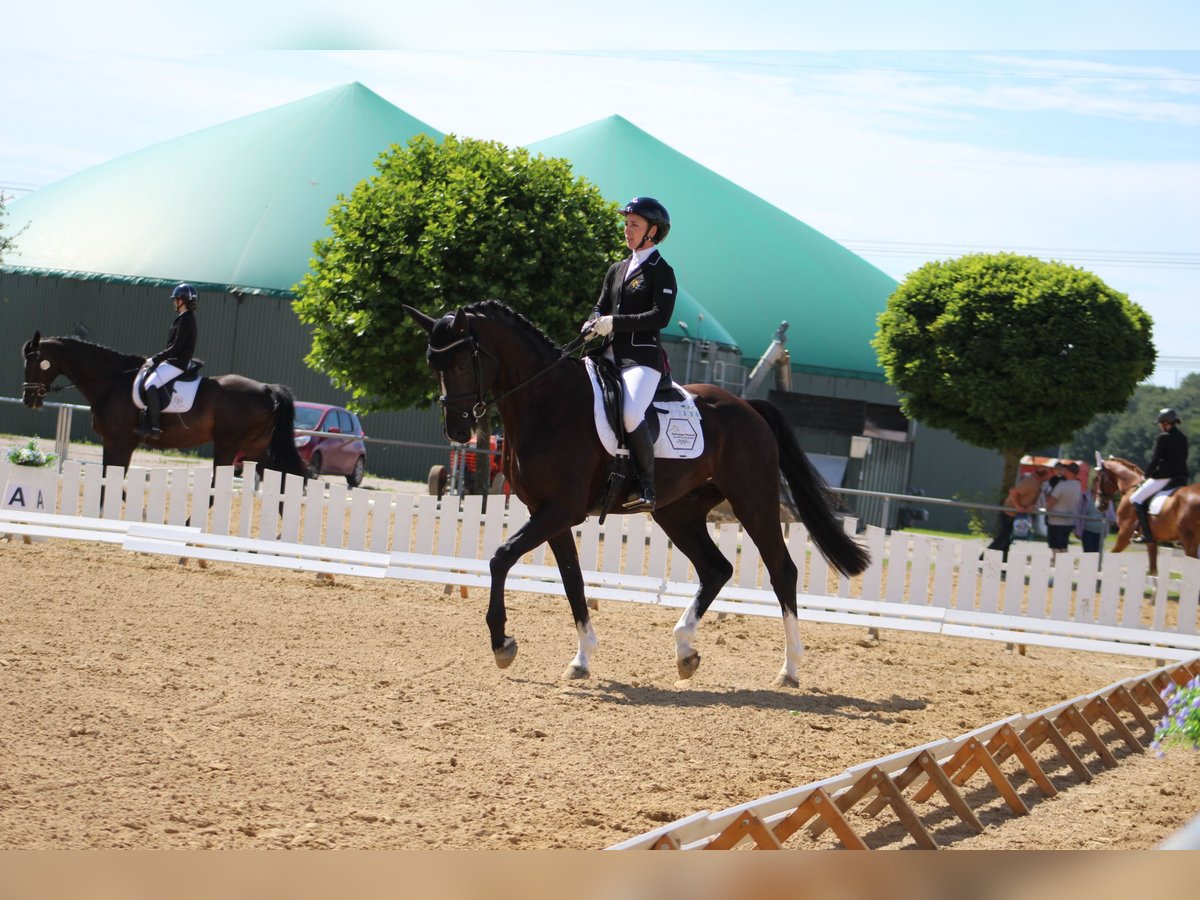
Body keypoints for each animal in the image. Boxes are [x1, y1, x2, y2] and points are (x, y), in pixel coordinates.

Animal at [408, 300, 868, 686]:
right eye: (432, 364)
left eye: (461, 363)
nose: (458, 430)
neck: (548, 402)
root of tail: (747, 407)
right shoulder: (550, 513)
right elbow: (572, 580)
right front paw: (581, 660)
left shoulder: (560, 510)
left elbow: (501, 557)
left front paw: (502, 643)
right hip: (677, 512)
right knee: (716, 569)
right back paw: (685, 651)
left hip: (752, 502)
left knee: (781, 571)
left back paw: (789, 668)